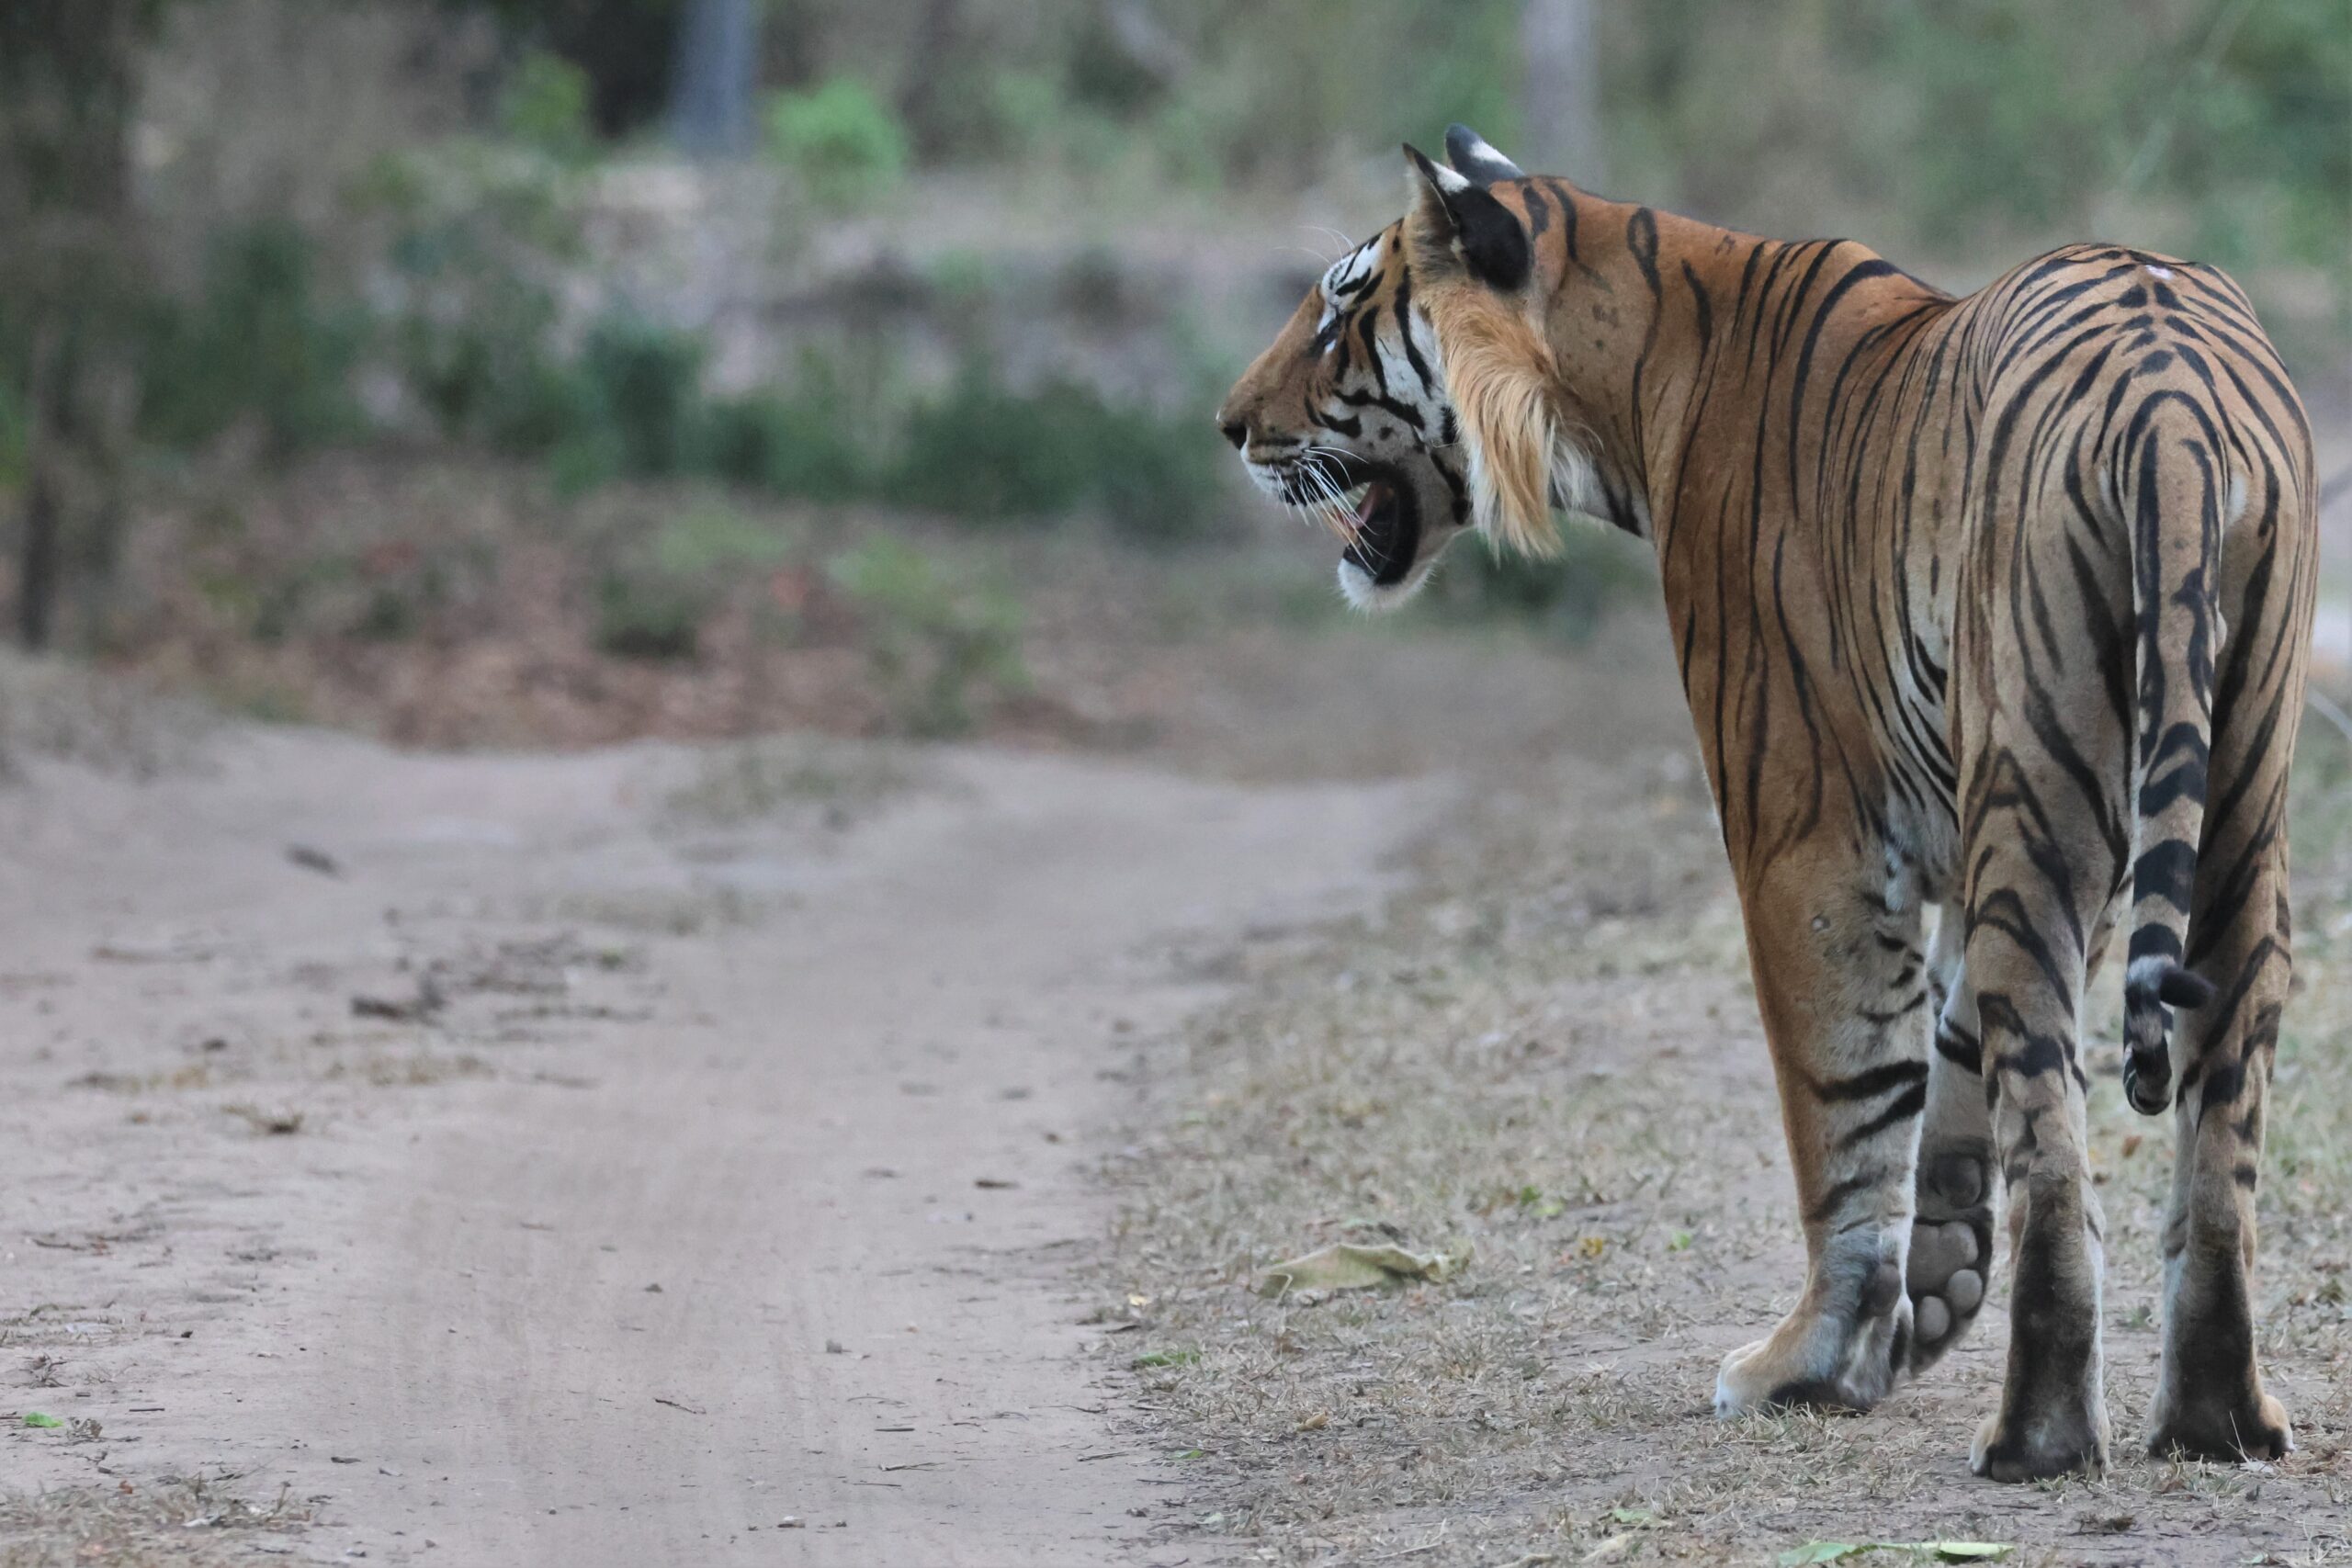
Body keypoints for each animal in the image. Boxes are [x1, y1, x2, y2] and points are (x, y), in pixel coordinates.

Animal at [1223, 125, 2324, 1485]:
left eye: (1337, 311)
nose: (1228, 425)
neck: (1626, 369)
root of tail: (2174, 411)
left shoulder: (1801, 831)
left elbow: (1845, 1104)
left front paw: (1812, 1360)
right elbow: (1944, 1057)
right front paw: (1935, 1284)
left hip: (2043, 807)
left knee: (2053, 1134)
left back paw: (2037, 1437)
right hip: (2235, 813)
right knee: (2218, 1120)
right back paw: (2218, 1420)